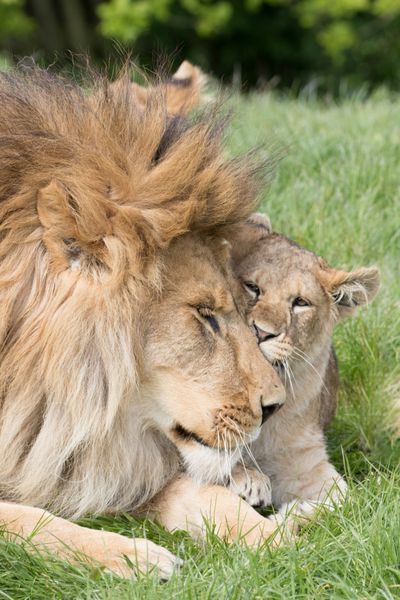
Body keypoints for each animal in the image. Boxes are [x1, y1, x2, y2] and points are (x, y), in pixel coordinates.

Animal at [0, 65, 286, 576]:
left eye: (241, 308)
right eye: (205, 317)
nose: (275, 407)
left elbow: (197, 492)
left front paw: (279, 537)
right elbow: (28, 518)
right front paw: (133, 556)